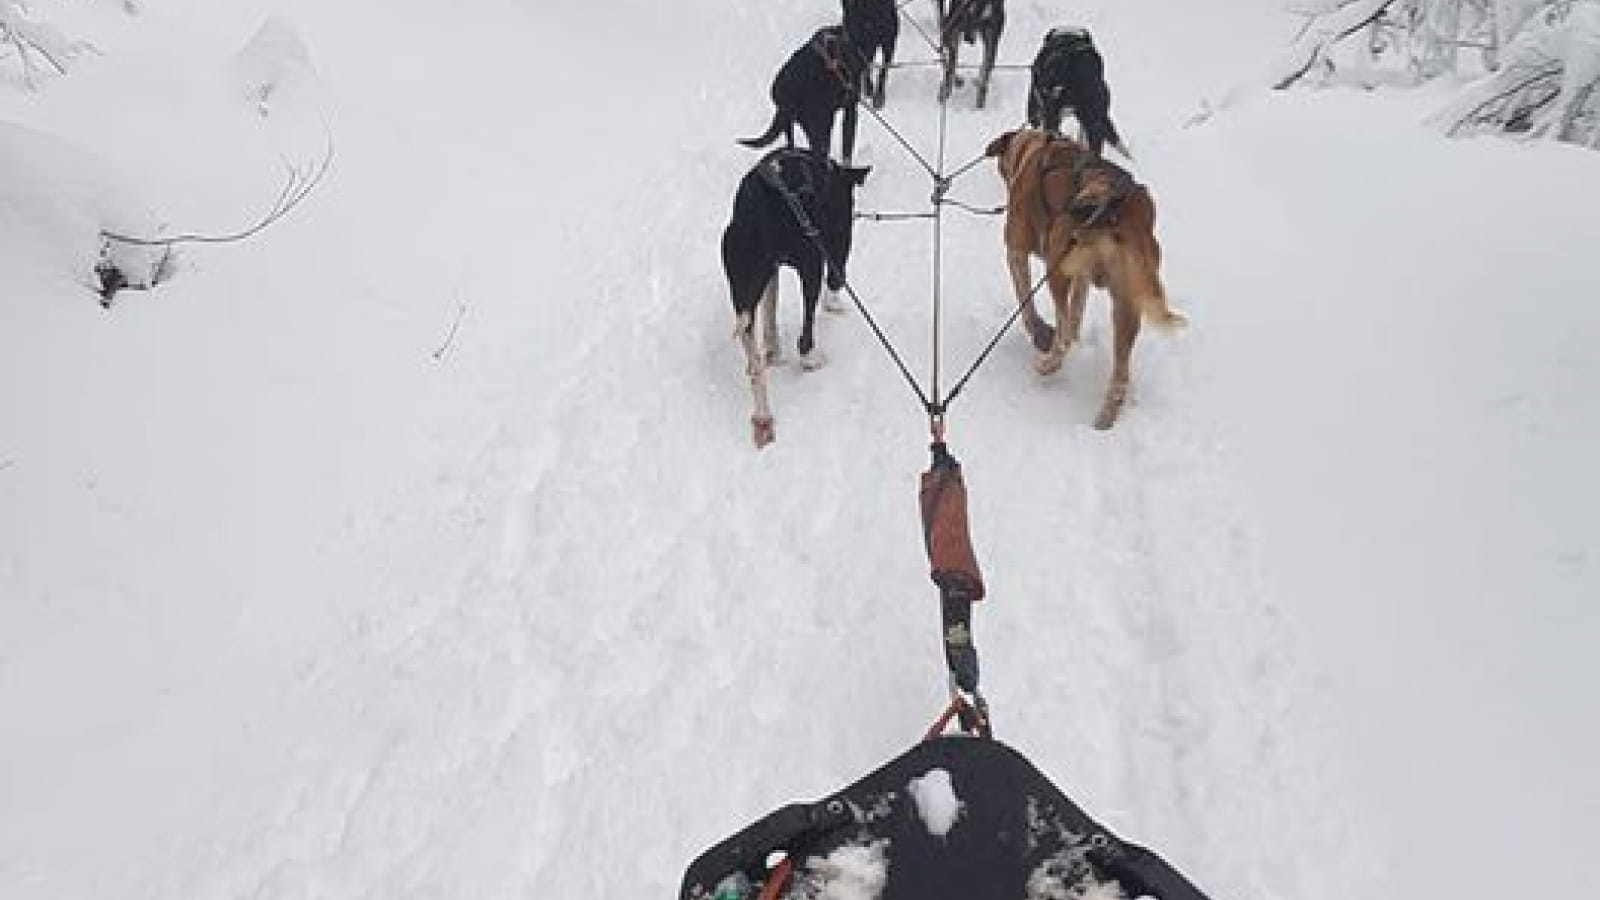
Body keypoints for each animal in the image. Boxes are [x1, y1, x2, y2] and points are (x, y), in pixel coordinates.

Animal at [726, 147, 876, 448]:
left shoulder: (770, 272)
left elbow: (770, 312)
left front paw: (772, 350)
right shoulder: (838, 241)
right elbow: (837, 278)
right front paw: (834, 305)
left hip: (742, 288)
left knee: (755, 360)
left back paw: (763, 416)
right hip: (812, 264)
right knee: (806, 331)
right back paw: (810, 359)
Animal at [972, 128, 1190, 429]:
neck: (1034, 148)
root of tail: (1115, 206)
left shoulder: (1016, 252)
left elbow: (1028, 307)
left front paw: (1039, 331)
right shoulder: (1082, 277)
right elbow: (1077, 311)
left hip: (1056, 266)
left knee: (1062, 332)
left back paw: (1049, 363)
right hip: (1127, 303)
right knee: (1120, 373)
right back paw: (1106, 417)